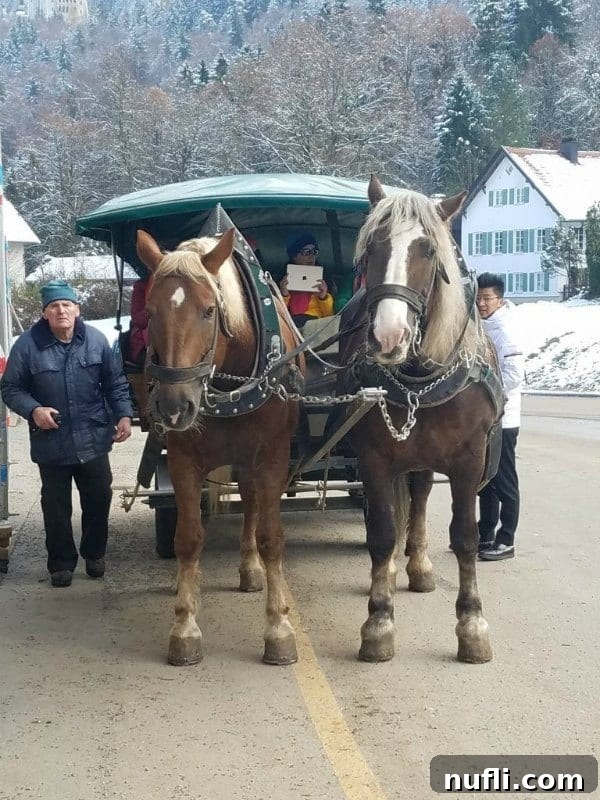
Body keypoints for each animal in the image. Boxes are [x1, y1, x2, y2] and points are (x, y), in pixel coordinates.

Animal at [135, 228, 302, 667]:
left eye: (209, 311)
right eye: (150, 312)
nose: (174, 406)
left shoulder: (272, 458)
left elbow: (271, 536)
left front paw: (278, 628)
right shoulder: (182, 461)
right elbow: (189, 537)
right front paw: (184, 626)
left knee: (252, 505)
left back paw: (251, 569)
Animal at [339, 176, 503, 665]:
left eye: (428, 250)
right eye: (372, 247)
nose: (388, 336)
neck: (419, 379)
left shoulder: (469, 460)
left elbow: (465, 536)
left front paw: (472, 625)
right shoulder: (374, 458)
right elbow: (380, 532)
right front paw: (379, 622)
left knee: (423, 493)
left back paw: (419, 564)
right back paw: (396, 568)